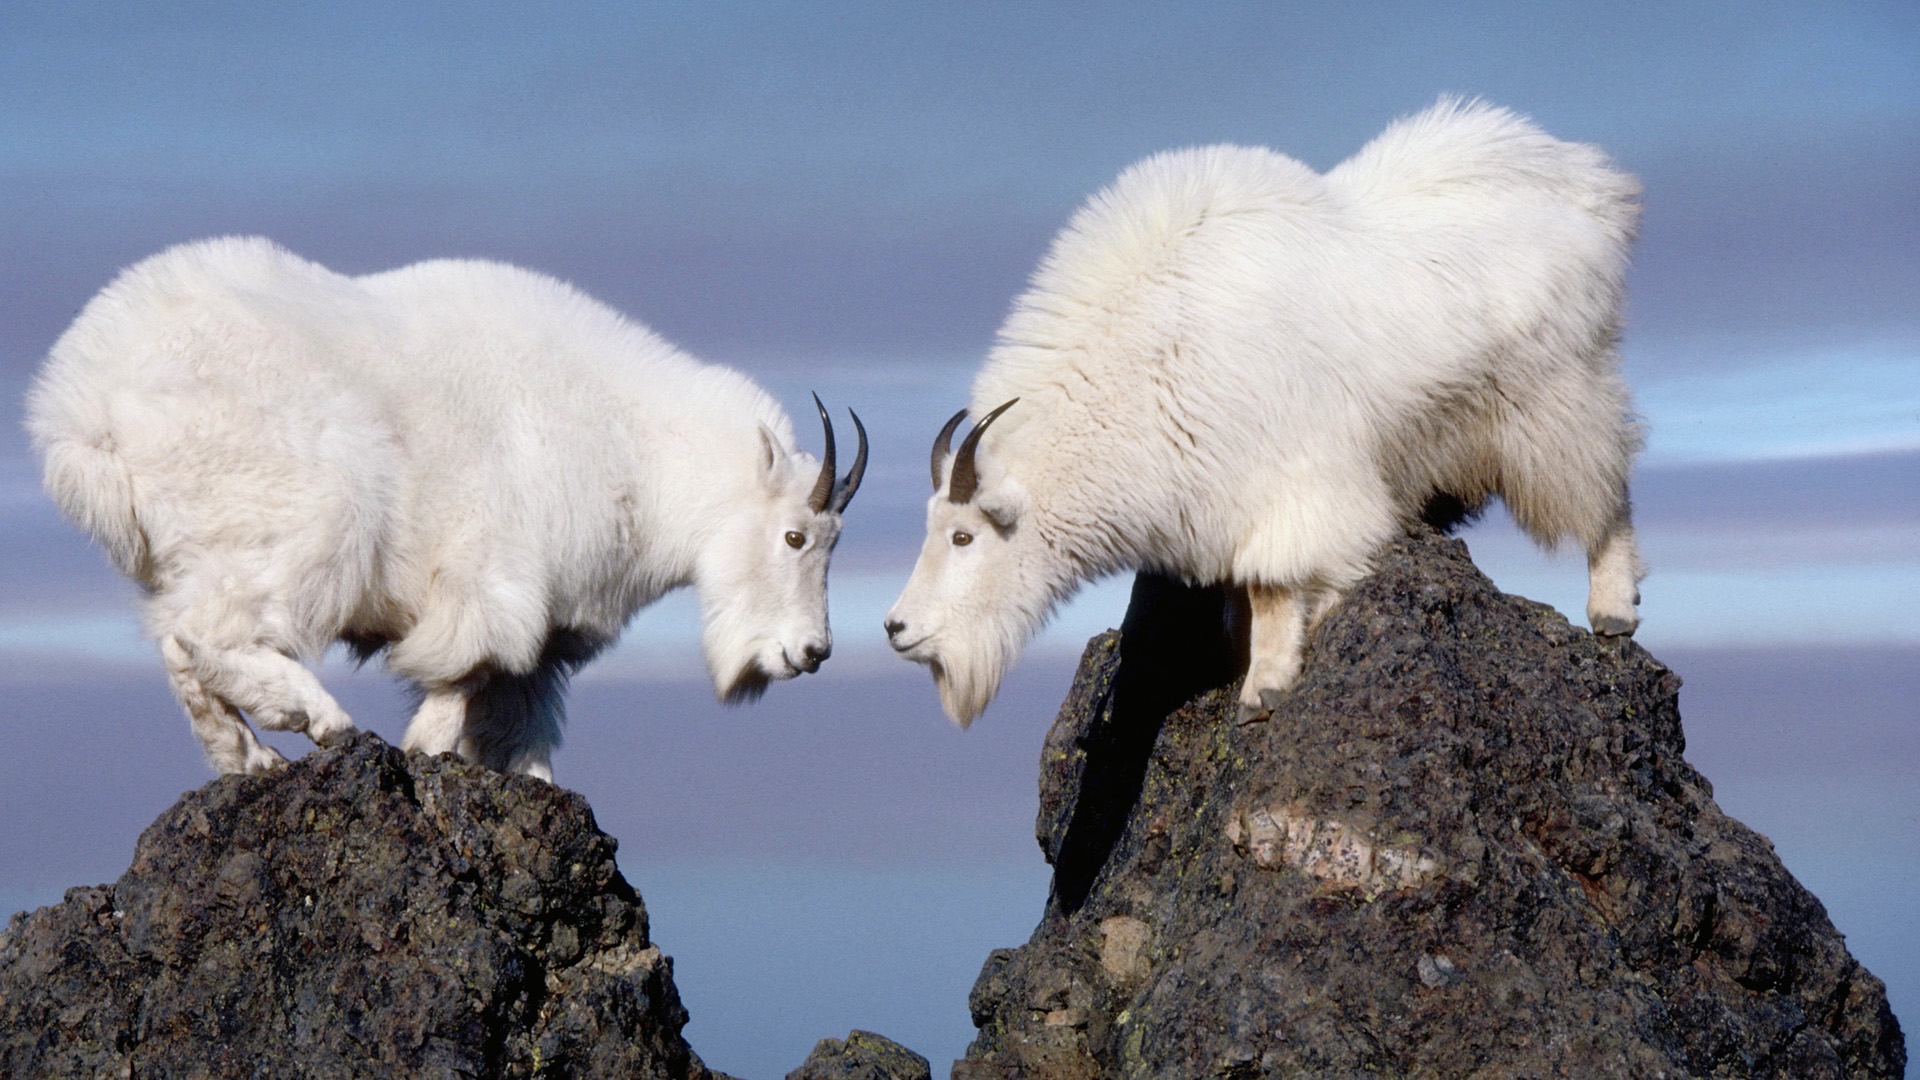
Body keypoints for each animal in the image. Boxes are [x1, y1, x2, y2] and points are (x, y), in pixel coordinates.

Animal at [28, 235, 871, 772]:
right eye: (796, 537)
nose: (812, 653)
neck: (637, 448)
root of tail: (87, 412)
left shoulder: (540, 639)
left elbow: (514, 727)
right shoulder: (490, 581)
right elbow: (462, 676)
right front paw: (419, 751)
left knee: (176, 641)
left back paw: (250, 759)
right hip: (300, 521)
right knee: (202, 633)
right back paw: (314, 720)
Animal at [890, 100, 1643, 722]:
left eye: (964, 536)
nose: (897, 628)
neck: (1147, 353)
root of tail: (1594, 188)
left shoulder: (1288, 480)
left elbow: (1273, 585)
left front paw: (1265, 688)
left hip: (1555, 394)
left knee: (1606, 485)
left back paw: (1613, 608)